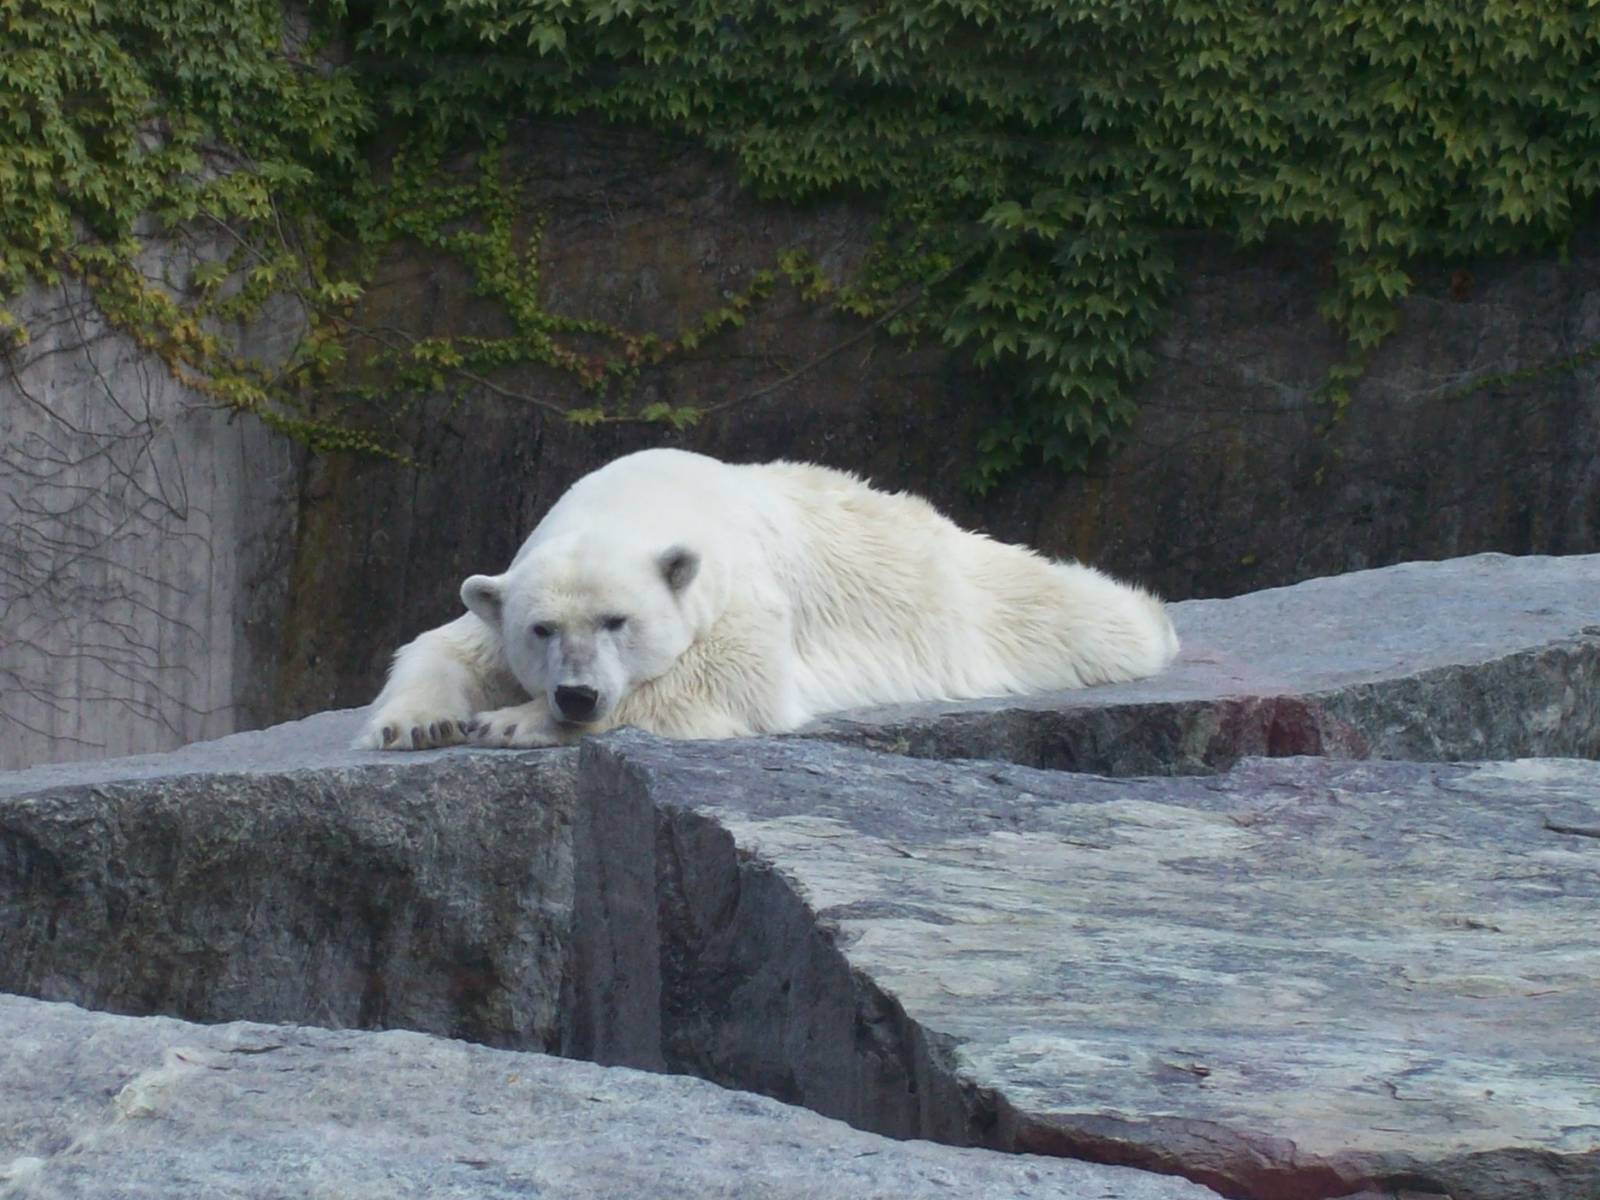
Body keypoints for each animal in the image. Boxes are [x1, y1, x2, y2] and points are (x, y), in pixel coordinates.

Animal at [353, 448, 1179, 751]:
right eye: (542, 629)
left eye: (619, 621)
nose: (578, 695)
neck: (637, 498)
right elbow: (447, 643)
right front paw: (416, 724)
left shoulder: (736, 584)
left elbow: (727, 677)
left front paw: (510, 721)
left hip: (945, 588)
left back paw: (1146, 620)